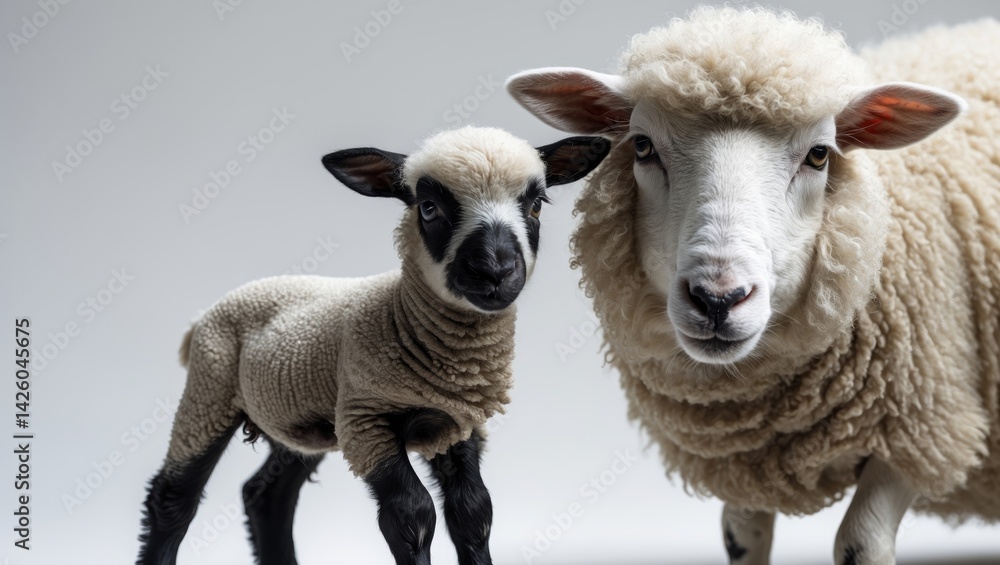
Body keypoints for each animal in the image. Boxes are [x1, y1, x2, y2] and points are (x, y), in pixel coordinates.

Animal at [135, 125, 610, 565]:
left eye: (535, 204)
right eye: (429, 207)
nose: (495, 271)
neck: (400, 315)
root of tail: (203, 317)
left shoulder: (458, 424)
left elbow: (474, 512)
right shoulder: (366, 422)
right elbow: (412, 515)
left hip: (299, 417)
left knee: (265, 497)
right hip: (210, 390)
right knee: (172, 497)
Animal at [507, 7, 1000, 565]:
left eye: (819, 155)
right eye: (643, 146)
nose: (718, 299)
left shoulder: (924, 427)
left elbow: (860, 541)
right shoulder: (743, 459)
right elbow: (742, 536)